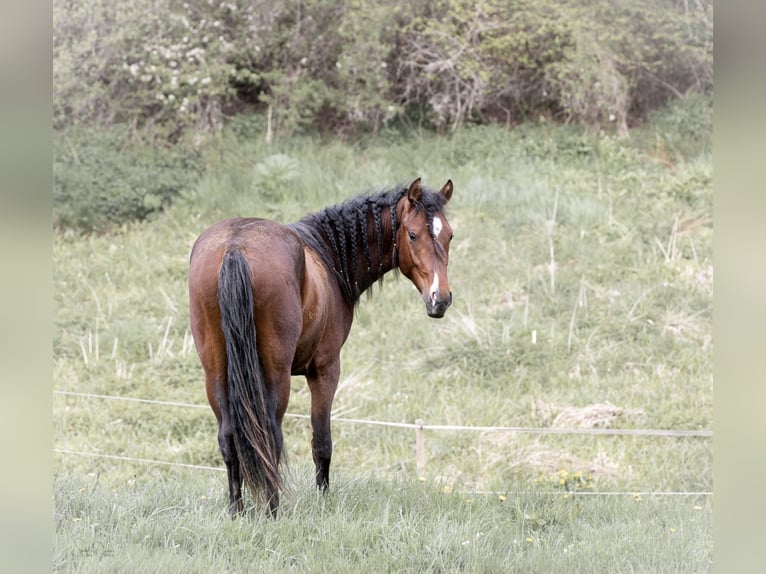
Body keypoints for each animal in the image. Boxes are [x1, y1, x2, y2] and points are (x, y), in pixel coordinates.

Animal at [190, 177, 456, 516]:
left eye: (449, 235)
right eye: (413, 234)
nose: (441, 299)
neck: (327, 255)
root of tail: (235, 246)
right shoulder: (325, 370)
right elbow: (322, 442)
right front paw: (323, 501)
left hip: (215, 371)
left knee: (228, 437)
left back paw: (237, 510)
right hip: (275, 374)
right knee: (271, 436)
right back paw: (273, 510)